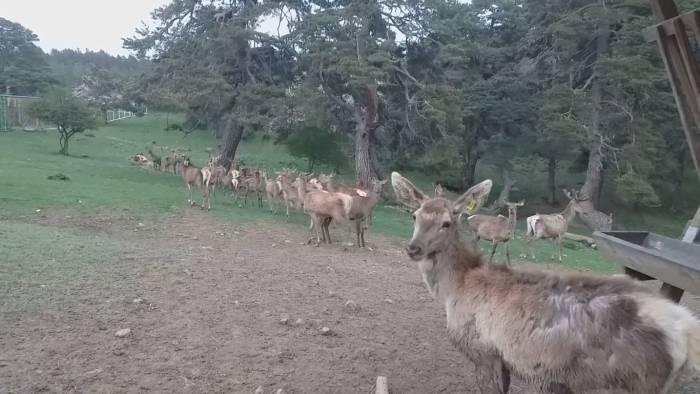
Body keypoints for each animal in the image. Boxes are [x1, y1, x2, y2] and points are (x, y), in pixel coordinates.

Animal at [392, 172, 700, 394]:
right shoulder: (506, 359)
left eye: (446, 222)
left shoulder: (482, 351)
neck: (456, 288)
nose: (414, 248)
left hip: (634, 382)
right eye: (415, 215)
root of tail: (687, 330)